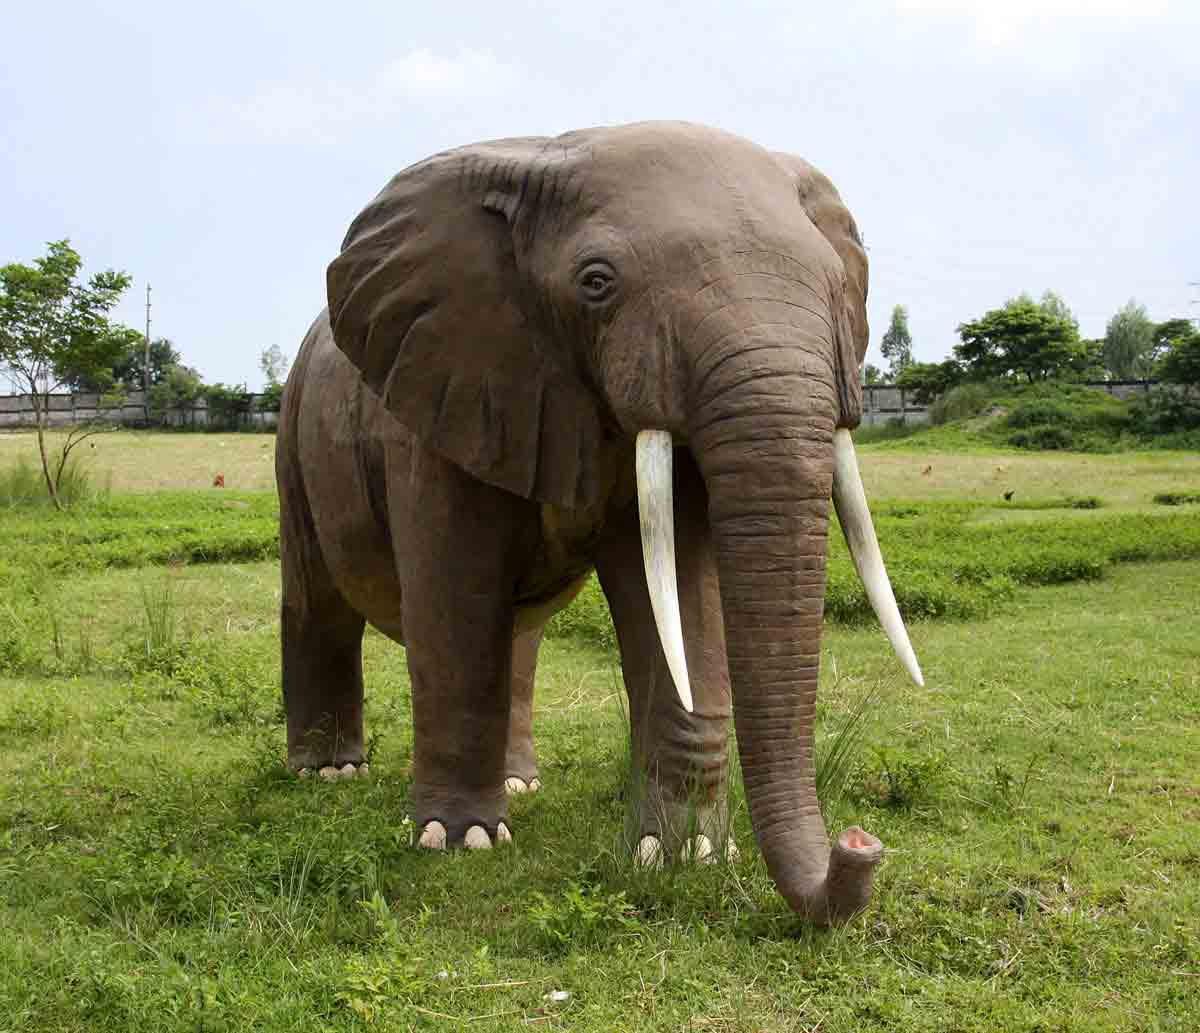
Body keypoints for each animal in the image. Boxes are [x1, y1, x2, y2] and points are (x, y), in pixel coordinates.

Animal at [275, 121, 922, 926]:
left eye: (839, 285)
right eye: (595, 283)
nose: (860, 844)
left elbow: (677, 600)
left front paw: (681, 856)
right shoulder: (442, 392)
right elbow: (455, 602)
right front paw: (455, 840)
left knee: (517, 634)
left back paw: (519, 783)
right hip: (295, 431)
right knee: (318, 601)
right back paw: (329, 774)